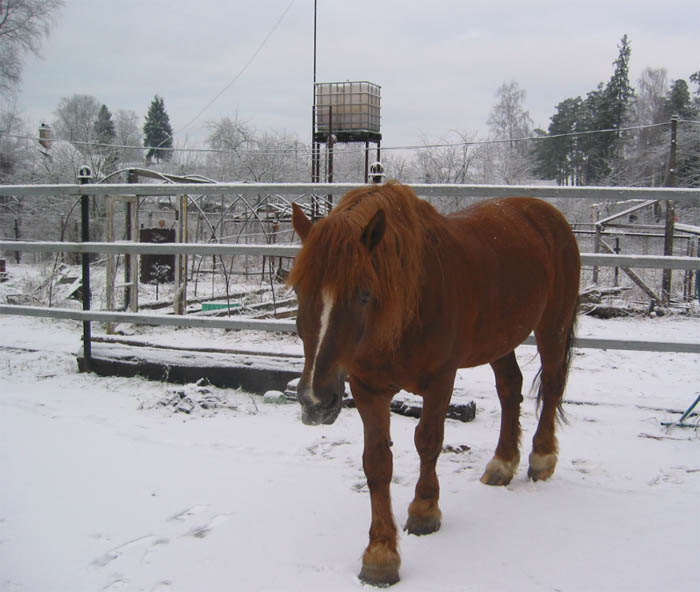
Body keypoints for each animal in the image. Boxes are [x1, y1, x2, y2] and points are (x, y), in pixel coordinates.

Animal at [288, 183, 580, 584]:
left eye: (364, 294)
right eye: (300, 292)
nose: (316, 402)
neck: (408, 302)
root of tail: (546, 213)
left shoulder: (441, 379)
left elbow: (428, 441)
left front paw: (424, 511)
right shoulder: (368, 389)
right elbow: (376, 462)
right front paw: (381, 554)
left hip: (553, 325)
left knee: (550, 386)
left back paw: (541, 459)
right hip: (500, 340)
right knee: (510, 389)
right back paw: (503, 464)